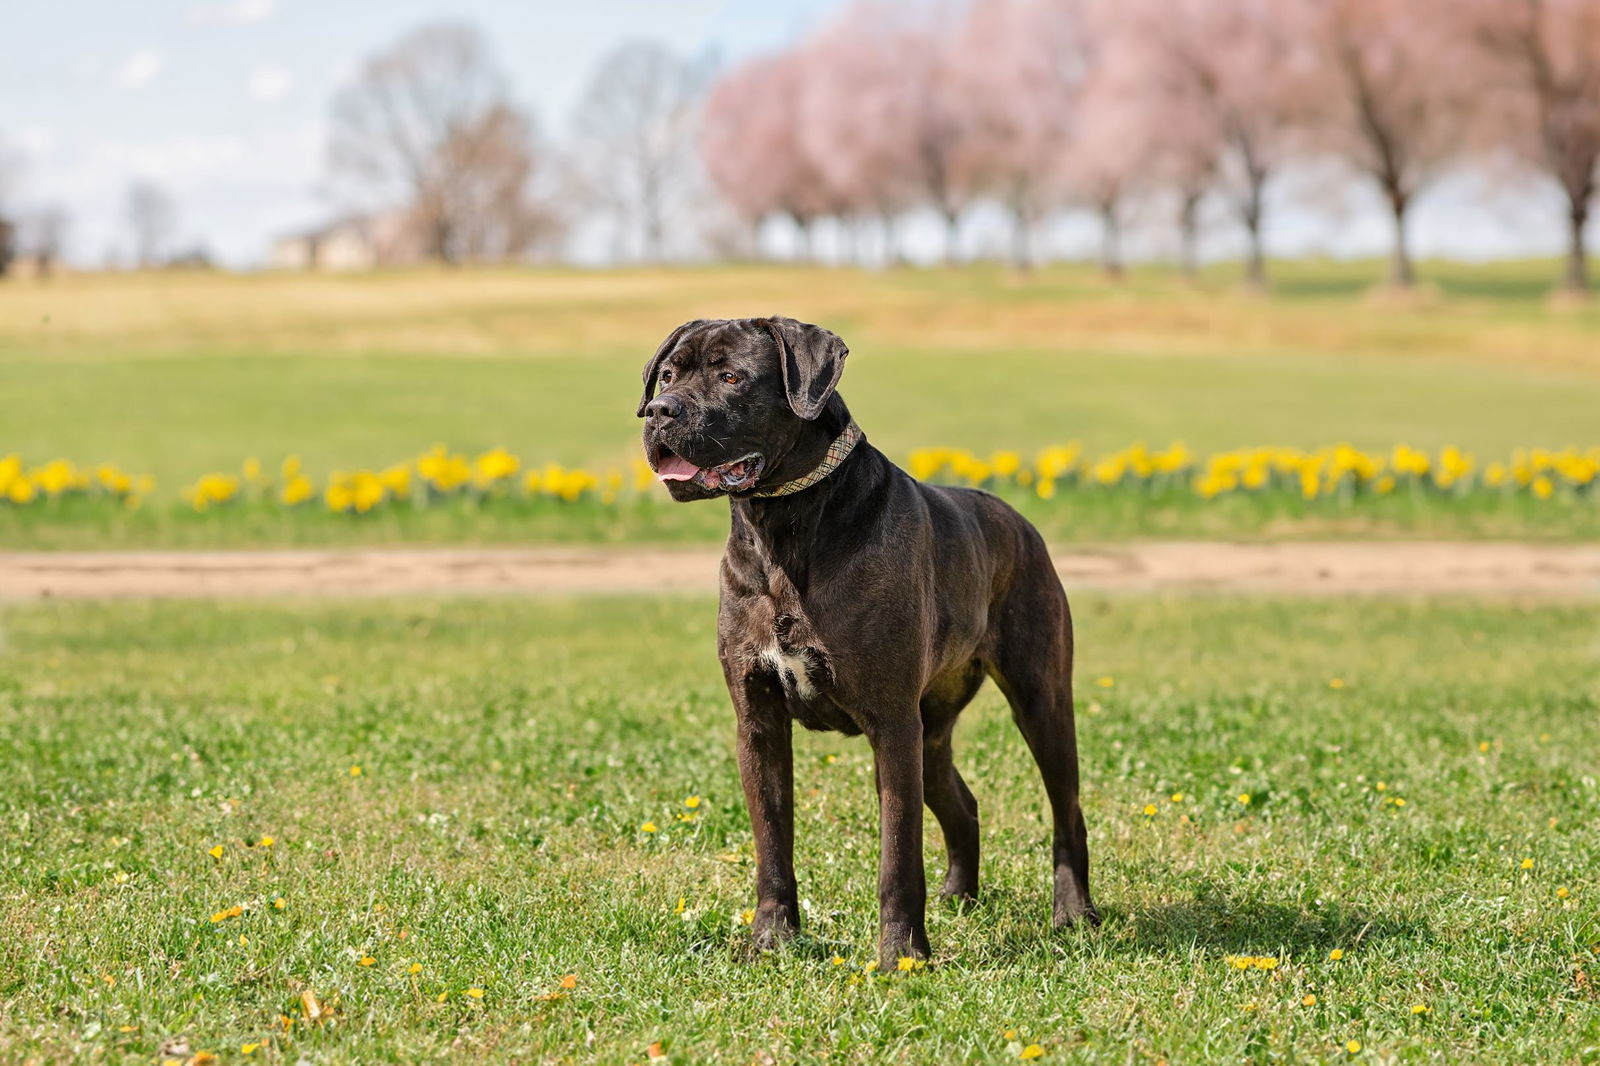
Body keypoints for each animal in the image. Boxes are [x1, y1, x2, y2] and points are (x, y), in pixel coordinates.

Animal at [636, 315, 1100, 960]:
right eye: (667, 375)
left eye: (731, 377)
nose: (660, 411)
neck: (782, 525)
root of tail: (1020, 522)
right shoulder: (759, 722)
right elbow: (772, 844)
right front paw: (772, 939)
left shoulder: (892, 722)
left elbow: (898, 857)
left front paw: (902, 955)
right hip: (932, 731)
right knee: (963, 804)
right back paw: (959, 896)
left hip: (1040, 699)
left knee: (1067, 808)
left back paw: (1074, 912)